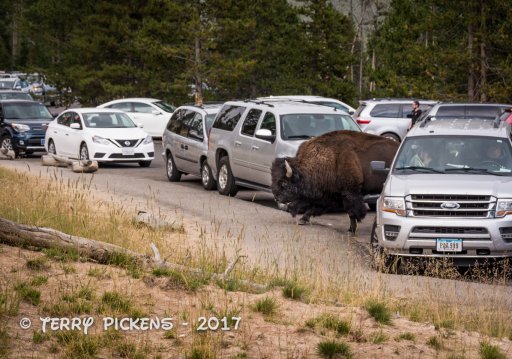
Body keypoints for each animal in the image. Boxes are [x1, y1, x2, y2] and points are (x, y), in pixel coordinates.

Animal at [270, 131, 398, 235]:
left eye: (284, 183)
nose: (276, 198)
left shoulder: (350, 191)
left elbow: (352, 211)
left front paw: (352, 229)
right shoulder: (330, 194)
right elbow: (315, 207)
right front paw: (302, 220)